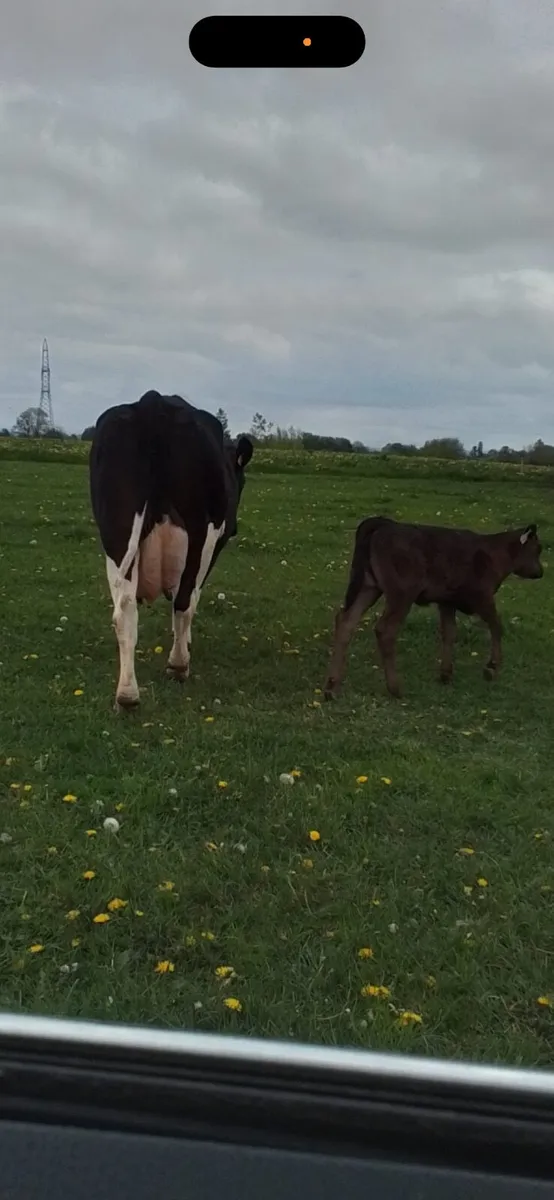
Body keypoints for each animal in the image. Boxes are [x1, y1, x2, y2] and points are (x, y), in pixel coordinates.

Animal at [89, 390, 253, 710]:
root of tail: (153, 403)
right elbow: (191, 596)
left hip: (117, 532)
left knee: (124, 609)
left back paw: (127, 695)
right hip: (201, 532)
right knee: (184, 600)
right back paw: (178, 665)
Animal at [324, 515, 543, 701]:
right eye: (537, 549)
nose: (540, 572)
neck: (495, 553)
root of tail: (385, 524)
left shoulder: (447, 601)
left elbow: (450, 632)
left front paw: (445, 674)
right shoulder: (482, 597)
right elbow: (496, 626)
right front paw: (491, 668)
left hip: (369, 587)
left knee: (346, 621)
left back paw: (332, 687)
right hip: (401, 594)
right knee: (385, 630)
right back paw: (395, 688)